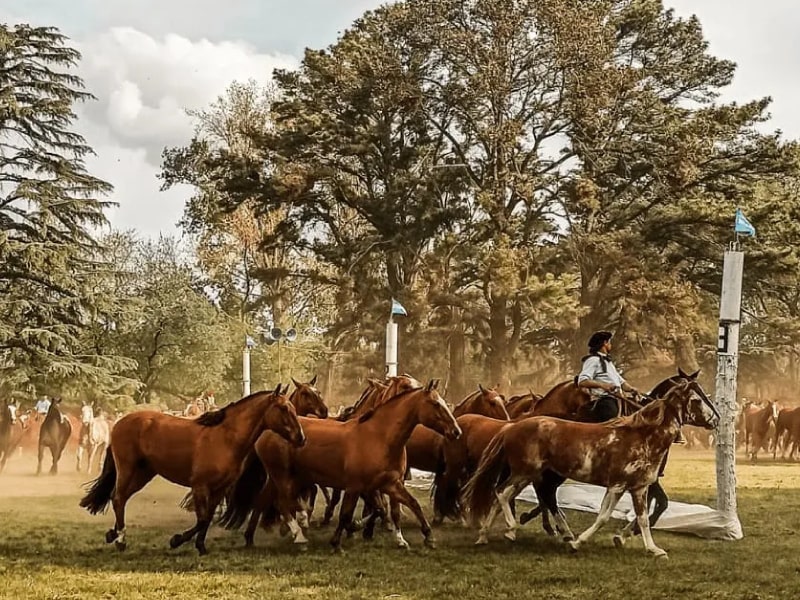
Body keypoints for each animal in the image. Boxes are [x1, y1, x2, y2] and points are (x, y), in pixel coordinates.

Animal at [78, 383, 305, 555]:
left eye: (293, 408)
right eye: (283, 408)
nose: (301, 438)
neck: (225, 438)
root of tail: (119, 422)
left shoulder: (219, 489)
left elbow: (208, 518)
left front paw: (201, 546)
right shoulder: (200, 486)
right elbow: (202, 518)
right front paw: (177, 540)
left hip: (143, 474)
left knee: (119, 498)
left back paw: (113, 534)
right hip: (127, 470)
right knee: (118, 499)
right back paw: (120, 540)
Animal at [220, 379, 462, 551]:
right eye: (435, 404)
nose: (456, 431)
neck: (380, 437)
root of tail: (266, 430)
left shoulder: (390, 484)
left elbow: (408, 505)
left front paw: (426, 537)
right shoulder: (355, 487)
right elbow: (347, 513)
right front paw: (338, 541)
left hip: (280, 477)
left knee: (265, 501)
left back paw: (252, 537)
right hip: (283, 476)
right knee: (282, 503)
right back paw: (299, 535)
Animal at [463, 380, 719, 557]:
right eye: (697, 400)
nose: (715, 420)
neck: (642, 437)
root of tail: (511, 426)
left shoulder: (638, 488)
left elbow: (643, 518)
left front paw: (653, 549)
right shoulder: (617, 485)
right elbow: (604, 516)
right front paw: (578, 542)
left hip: (528, 475)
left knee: (507, 495)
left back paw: (486, 535)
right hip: (523, 472)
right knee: (502, 492)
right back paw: (511, 528)